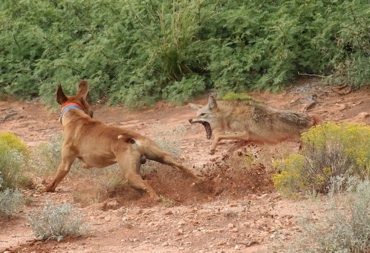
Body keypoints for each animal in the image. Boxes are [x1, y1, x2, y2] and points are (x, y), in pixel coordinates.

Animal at [45, 81, 201, 200]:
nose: (92, 113)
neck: (76, 116)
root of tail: (132, 139)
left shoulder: (65, 164)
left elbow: (55, 179)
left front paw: (46, 188)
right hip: (161, 156)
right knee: (180, 166)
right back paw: (199, 181)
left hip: (130, 174)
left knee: (146, 183)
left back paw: (155, 198)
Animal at [189, 95, 320, 154]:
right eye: (197, 114)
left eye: (202, 114)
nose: (190, 120)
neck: (229, 115)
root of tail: (312, 119)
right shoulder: (246, 139)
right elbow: (229, 146)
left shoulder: (244, 134)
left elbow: (218, 135)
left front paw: (212, 148)